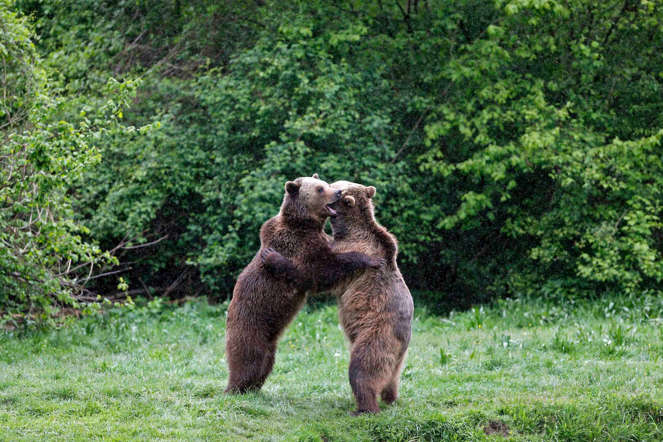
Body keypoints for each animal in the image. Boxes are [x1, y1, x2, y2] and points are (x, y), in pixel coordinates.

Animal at [224, 174, 384, 392]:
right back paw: (235, 387)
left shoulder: (319, 239)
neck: (304, 224)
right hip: (250, 324)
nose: (338, 192)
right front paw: (369, 258)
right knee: (248, 357)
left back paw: (253, 387)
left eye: (325, 184)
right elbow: (319, 271)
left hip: (270, 339)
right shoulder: (297, 246)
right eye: (320, 189)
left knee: (266, 362)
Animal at [262, 180, 412, 414]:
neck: (347, 229)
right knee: (392, 379)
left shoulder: (346, 250)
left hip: (377, 334)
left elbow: (317, 273)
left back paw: (364, 408)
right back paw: (391, 398)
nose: (337, 191)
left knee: (362, 368)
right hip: (399, 360)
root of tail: (403, 339)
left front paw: (275, 257)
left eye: (335, 188)